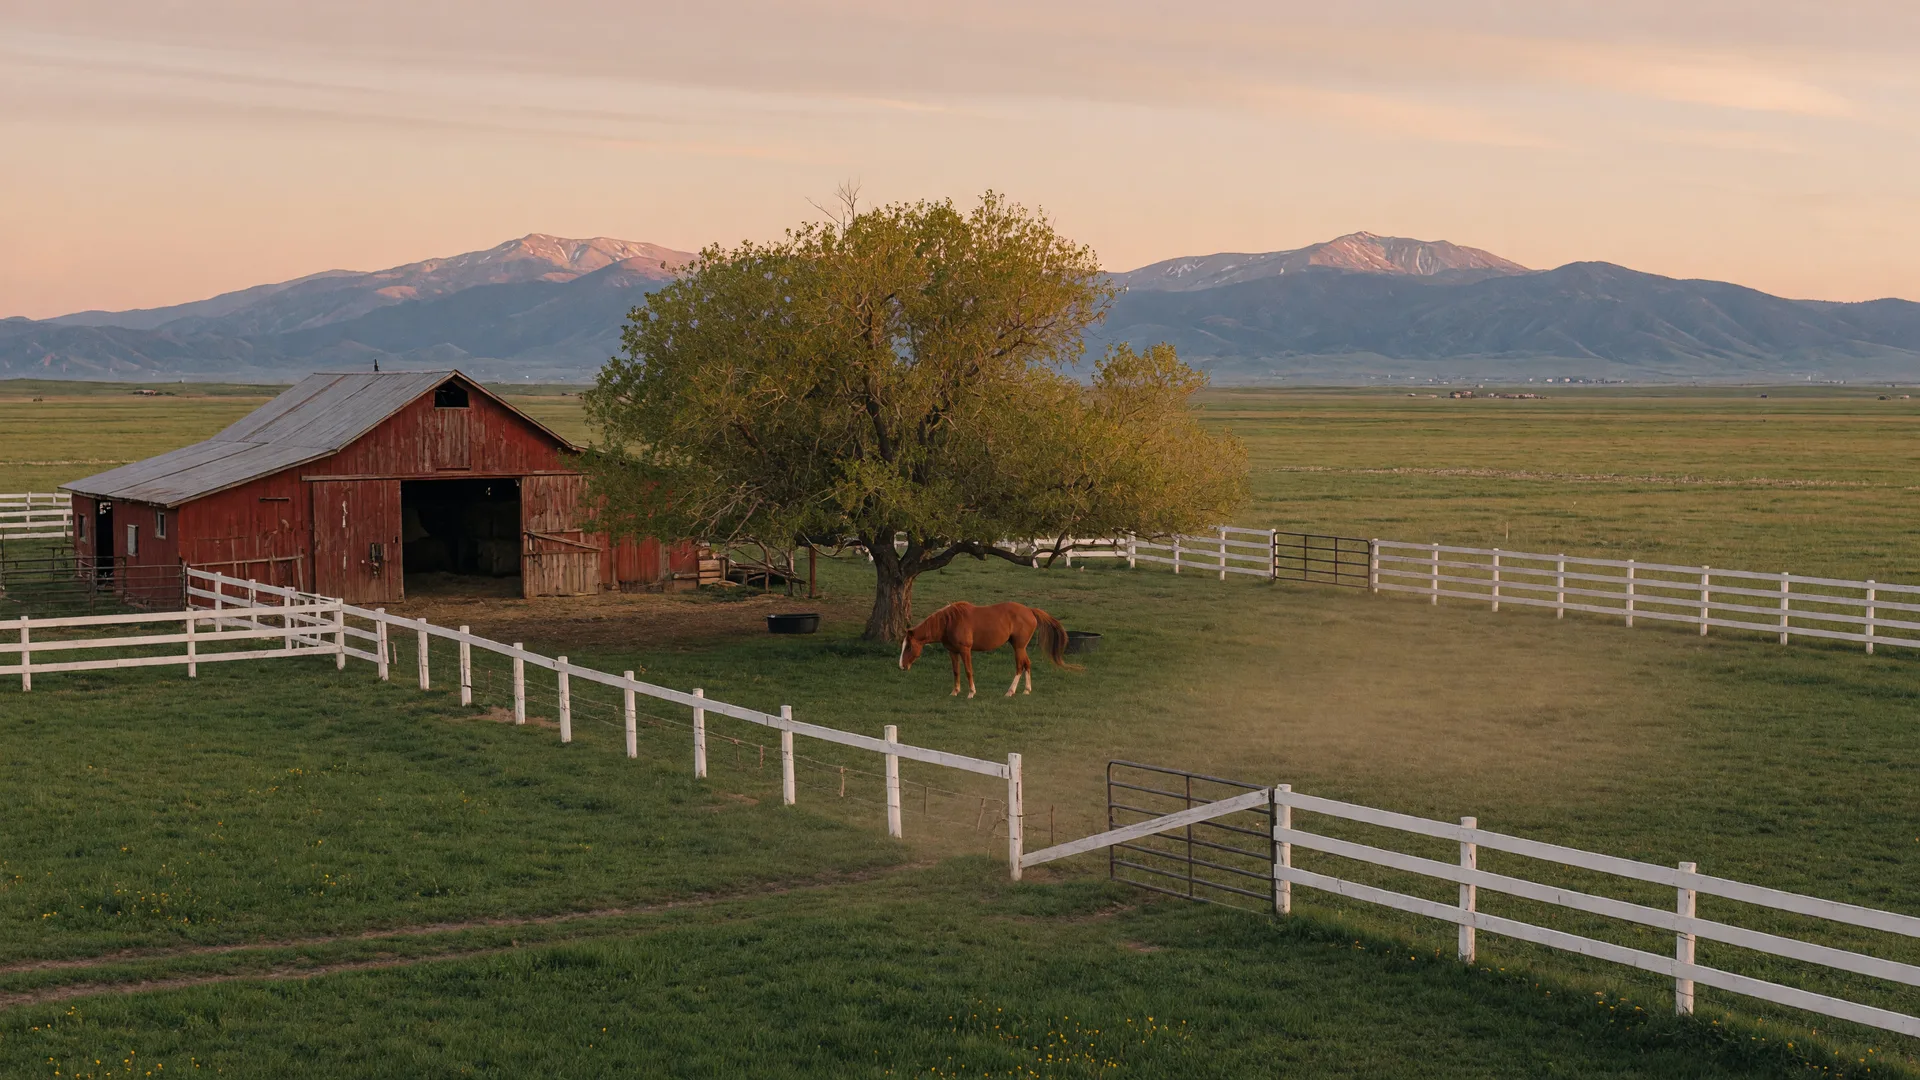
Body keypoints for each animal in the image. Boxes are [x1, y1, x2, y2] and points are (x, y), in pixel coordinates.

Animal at [898, 601, 1075, 698]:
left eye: (909, 647)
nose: (901, 666)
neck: (949, 622)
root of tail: (1030, 611)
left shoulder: (965, 650)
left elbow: (968, 671)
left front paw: (971, 692)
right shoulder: (952, 651)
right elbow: (956, 671)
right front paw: (955, 691)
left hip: (1018, 647)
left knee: (1020, 666)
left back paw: (1010, 691)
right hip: (1020, 647)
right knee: (1027, 664)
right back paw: (1026, 690)